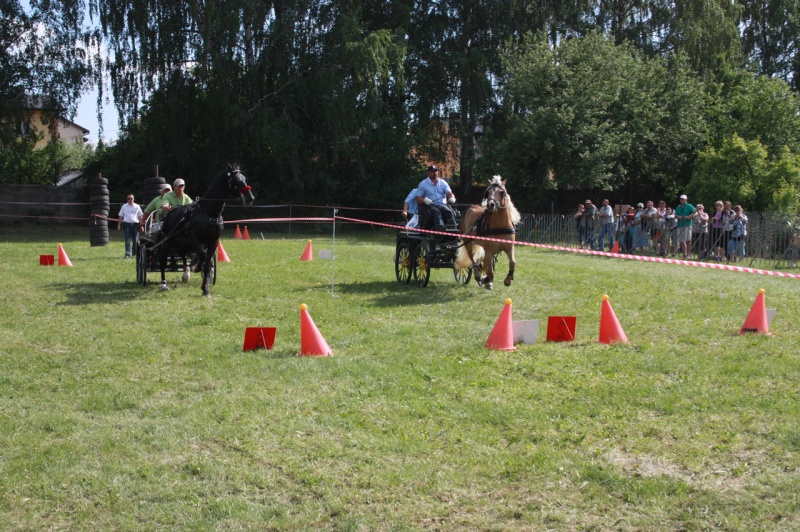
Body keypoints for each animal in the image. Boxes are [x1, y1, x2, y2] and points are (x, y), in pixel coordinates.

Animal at [155, 164, 255, 296]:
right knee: (163, 260)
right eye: (236, 180)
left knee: (183, 255)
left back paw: (185, 275)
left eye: (245, 179)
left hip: (182, 243)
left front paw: (205, 289)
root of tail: (171, 212)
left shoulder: (213, 241)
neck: (208, 212)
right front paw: (197, 267)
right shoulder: (194, 238)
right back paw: (163, 284)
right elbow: (202, 254)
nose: (250, 198)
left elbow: (207, 264)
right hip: (168, 241)